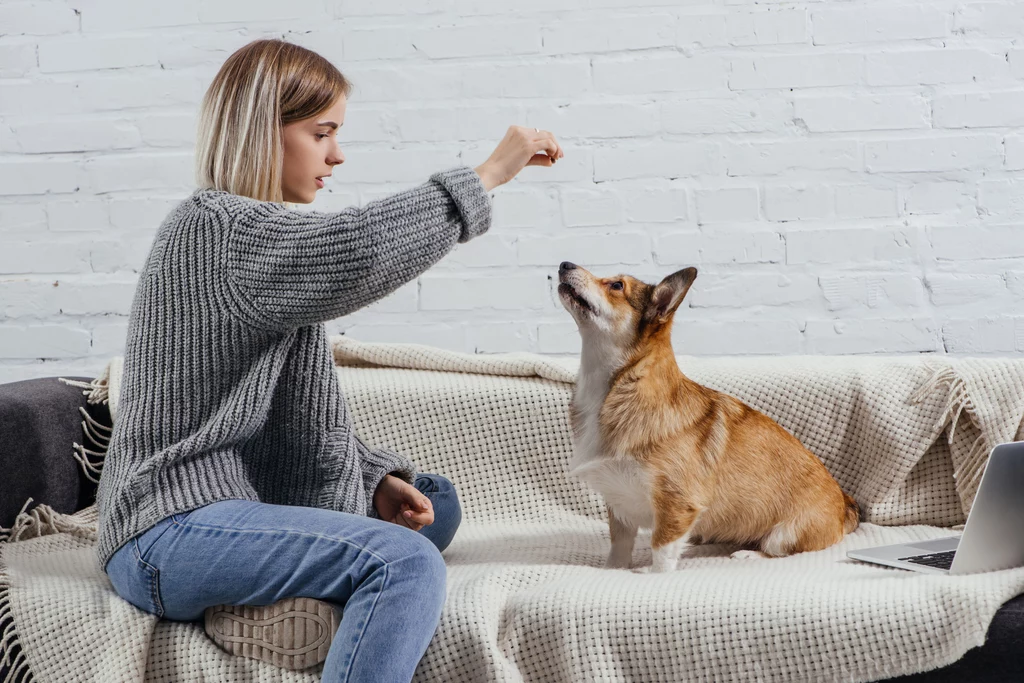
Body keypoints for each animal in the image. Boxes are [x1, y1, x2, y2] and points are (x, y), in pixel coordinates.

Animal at [557, 264, 860, 573]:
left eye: (616, 285)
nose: (565, 264)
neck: (613, 388)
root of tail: (845, 505)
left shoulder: (676, 504)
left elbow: (661, 549)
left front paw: (653, 575)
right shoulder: (618, 505)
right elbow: (619, 546)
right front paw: (613, 570)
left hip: (784, 534)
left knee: (778, 550)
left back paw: (749, 554)